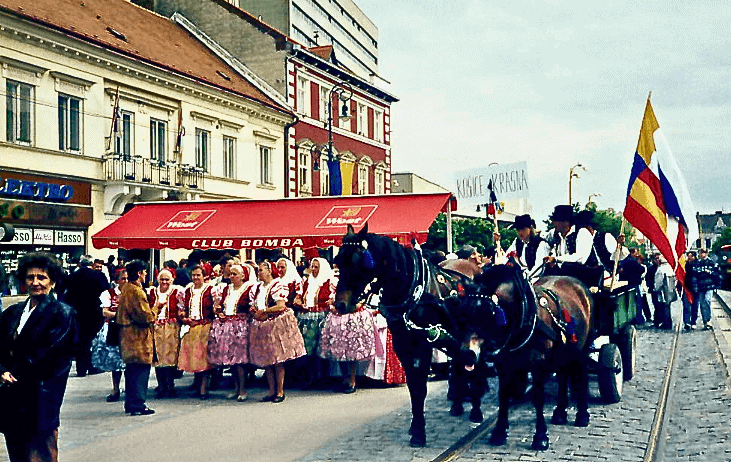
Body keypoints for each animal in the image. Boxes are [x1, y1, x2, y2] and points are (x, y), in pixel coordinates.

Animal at [334, 224, 488, 448]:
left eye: (358, 262)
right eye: (338, 261)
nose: (340, 304)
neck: (410, 288)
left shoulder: (424, 343)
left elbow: (420, 387)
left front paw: (419, 434)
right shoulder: (403, 343)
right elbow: (413, 387)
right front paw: (415, 427)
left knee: (476, 365)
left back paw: (476, 408)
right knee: (462, 363)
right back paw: (458, 404)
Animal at [466, 266, 596, 450]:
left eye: (487, 314)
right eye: (464, 312)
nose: (467, 354)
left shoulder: (537, 365)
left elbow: (538, 397)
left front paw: (540, 437)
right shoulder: (504, 364)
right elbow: (503, 395)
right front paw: (499, 433)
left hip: (583, 347)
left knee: (581, 375)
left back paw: (582, 414)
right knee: (563, 375)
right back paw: (560, 412)